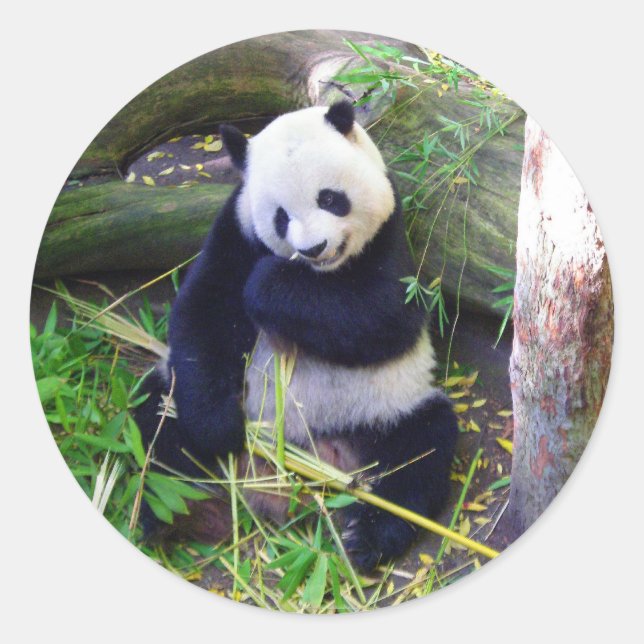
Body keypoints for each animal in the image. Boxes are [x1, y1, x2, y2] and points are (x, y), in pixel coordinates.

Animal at [135, 99, 458, 573]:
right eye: (281, 217)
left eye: (330, 198)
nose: (313, 249)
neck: (321, 275)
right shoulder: (237, 228)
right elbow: (204, 312)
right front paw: (218, 430)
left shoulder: (392, 234)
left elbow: (385, 317)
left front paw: (270, 285)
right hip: (176, 404)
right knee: (160, 424)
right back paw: (176, 513)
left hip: (386, 409)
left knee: (421, 451)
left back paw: (366, 537)